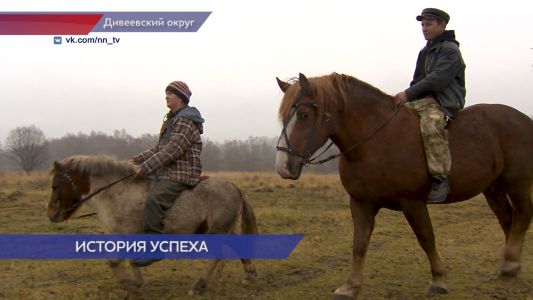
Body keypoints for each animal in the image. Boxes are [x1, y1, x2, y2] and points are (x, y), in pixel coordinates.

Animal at [46, 156, 258, 294]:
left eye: (55, 186)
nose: (51, 215)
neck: (118, 193)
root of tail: (235, 187)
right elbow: (126, 260)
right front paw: (136, 284)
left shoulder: (126, 234)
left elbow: (116, 261)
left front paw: (130, 285)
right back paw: (249, 275)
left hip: (217, 231)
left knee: (215, 258)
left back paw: (199, 285)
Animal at [274, 73, 532, 300]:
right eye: (284, 117)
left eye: (304, 115)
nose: (283, 167)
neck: (374, 142)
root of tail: (525, 119)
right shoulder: (361, 203)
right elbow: (359, 244)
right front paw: (350, 287)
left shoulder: (413, 204)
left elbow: (426, 238)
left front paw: (438, 280)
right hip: (494, 188)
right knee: (508, 221)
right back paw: (510, 265)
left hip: (516, 184)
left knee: (522, 215)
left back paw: (510, 264)